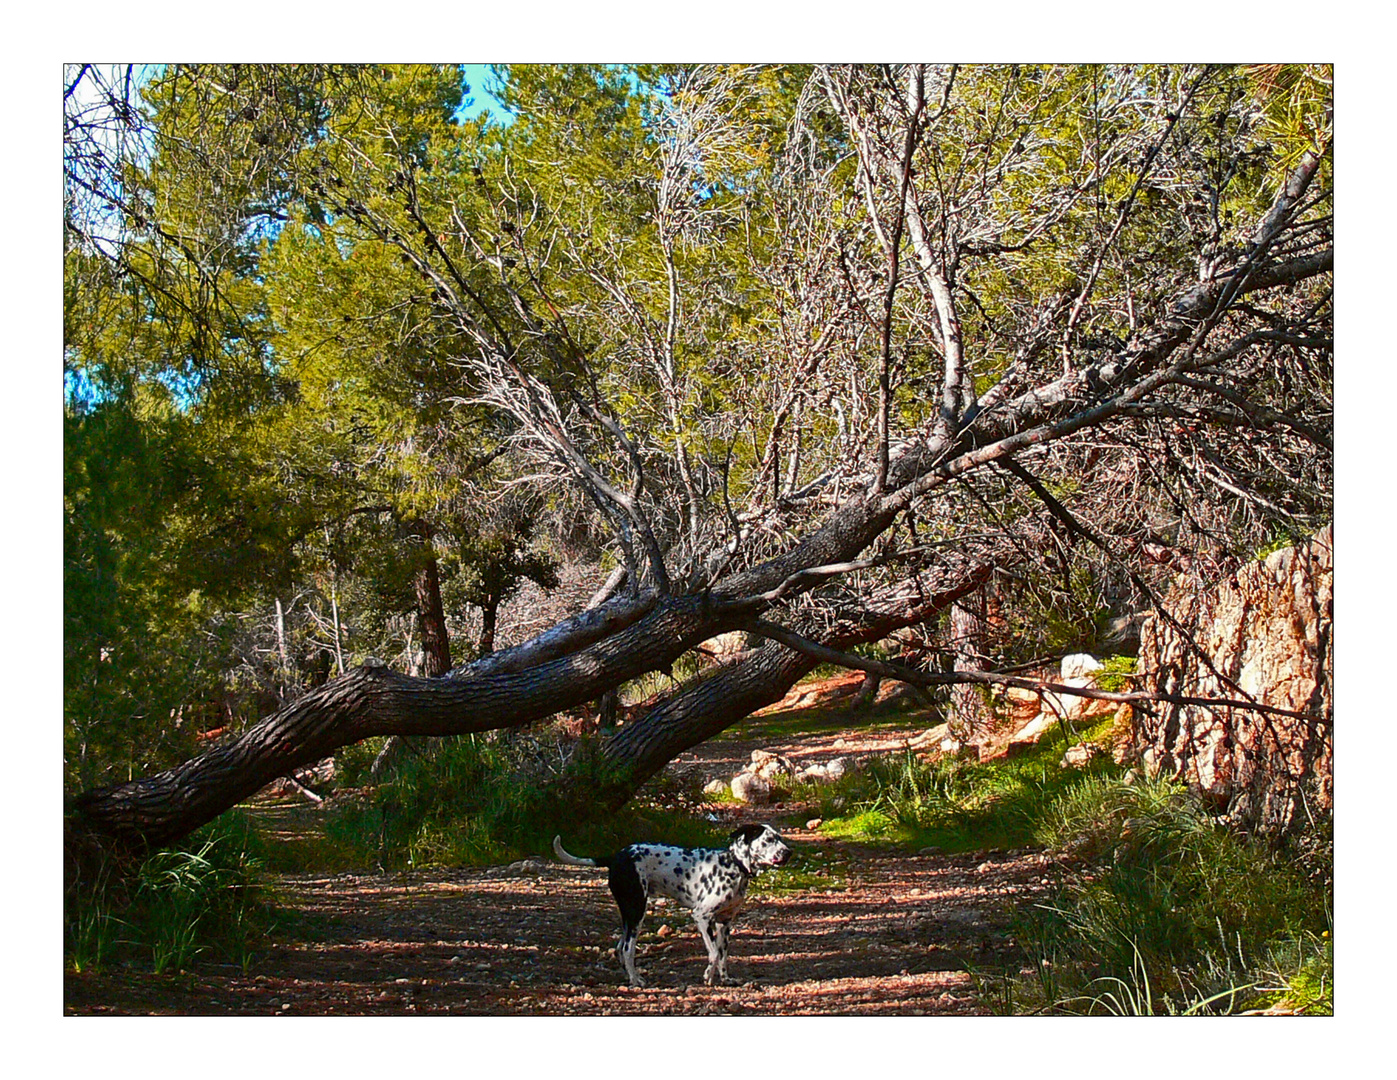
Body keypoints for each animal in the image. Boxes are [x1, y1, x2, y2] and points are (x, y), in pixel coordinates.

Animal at [556, 827, 799, 983]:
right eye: (769, 839)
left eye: (779, 837)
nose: (788, 852)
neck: (734, 865)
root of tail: (617, 855)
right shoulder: (702, 917)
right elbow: (713, 953)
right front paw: (708, 976)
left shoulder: (725, 923)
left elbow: (723, 955)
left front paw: (725, 978)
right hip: (637, 911)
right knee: (626, 949)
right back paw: (636, 980)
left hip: (630, 914)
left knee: (619, 948)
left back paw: (631, 976)